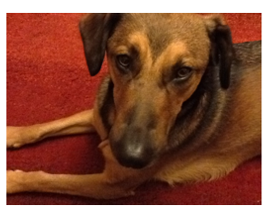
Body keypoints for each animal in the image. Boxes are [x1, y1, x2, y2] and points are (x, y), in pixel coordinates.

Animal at [5, 13, 262, 199]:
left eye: (183, 72)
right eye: (124, 60)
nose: (131, 157)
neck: (111, 118)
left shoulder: (110, 185)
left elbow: (49, 179)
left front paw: (11, 180)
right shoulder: (96, 115)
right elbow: (45, 126)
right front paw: (12, 134)